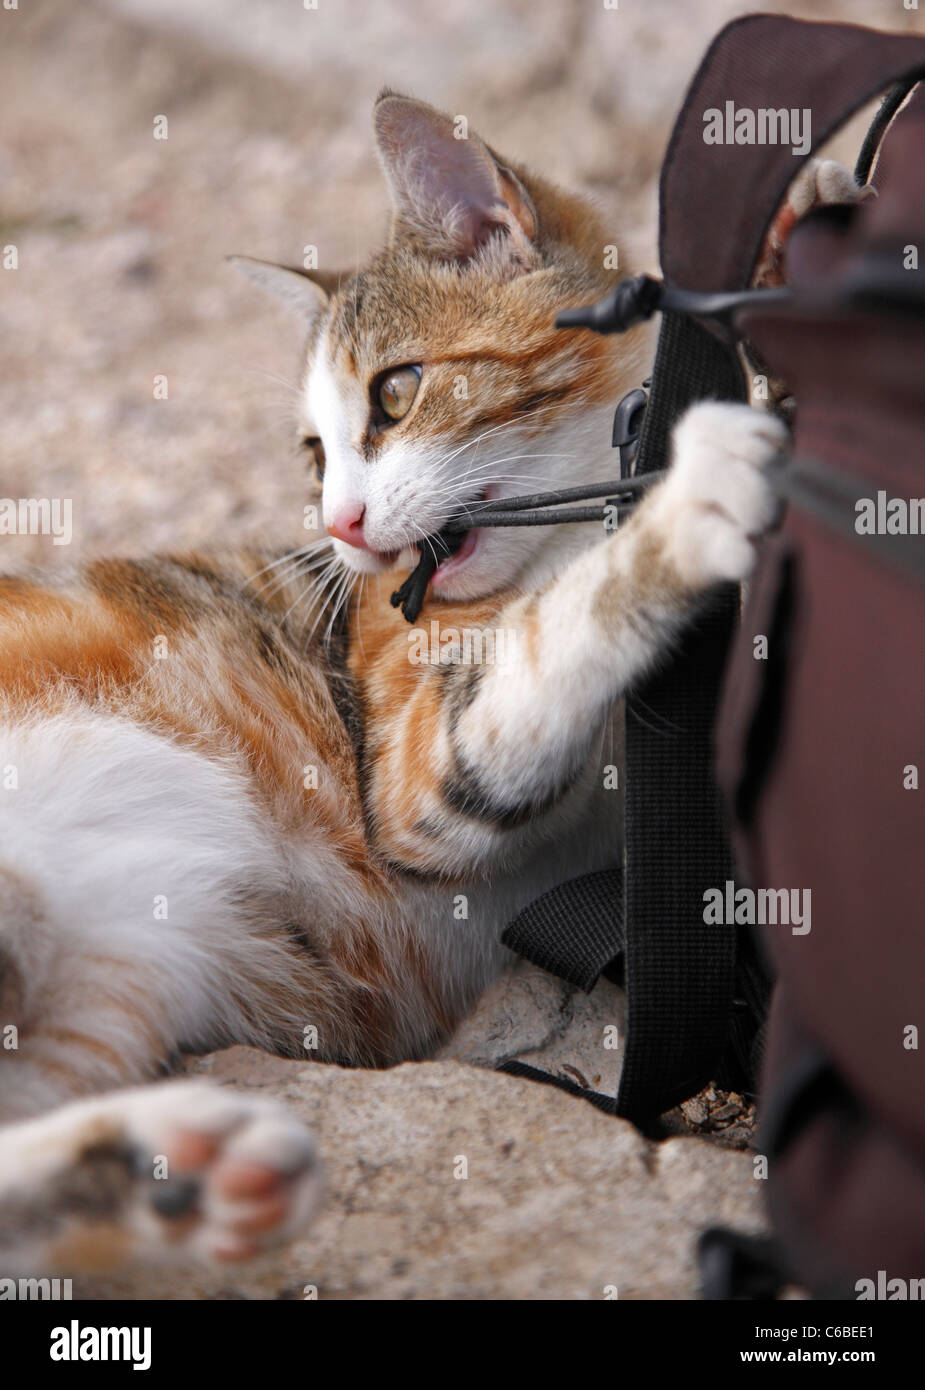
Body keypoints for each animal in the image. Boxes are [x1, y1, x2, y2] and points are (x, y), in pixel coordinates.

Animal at [0, 89, 845, 1278]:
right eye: (316, 456)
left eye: (396, 393)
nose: (342, 526)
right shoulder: (405, 770)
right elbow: (551, 642)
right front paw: (683, 506)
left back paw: (172, 1169)